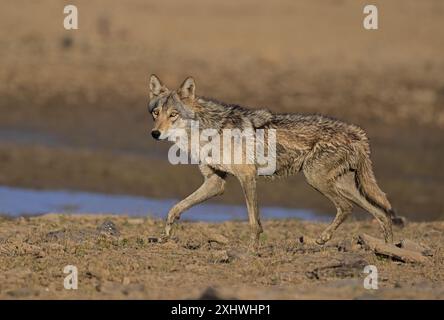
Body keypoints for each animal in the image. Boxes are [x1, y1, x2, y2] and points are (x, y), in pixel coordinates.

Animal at [147, 74, 400, 245]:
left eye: (173, 115)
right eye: (156, 113)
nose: (155, 134)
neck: (208, 130)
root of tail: (359, 133)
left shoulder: (247, 177)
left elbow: (253, 222)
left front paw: (252, 250)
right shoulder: (215, 182)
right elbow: (175, 208)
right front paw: (166, 234)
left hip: (316, 179)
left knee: (349, 207)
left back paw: (326, 238)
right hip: (340, 184)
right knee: (380, 213)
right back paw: (386, 249)